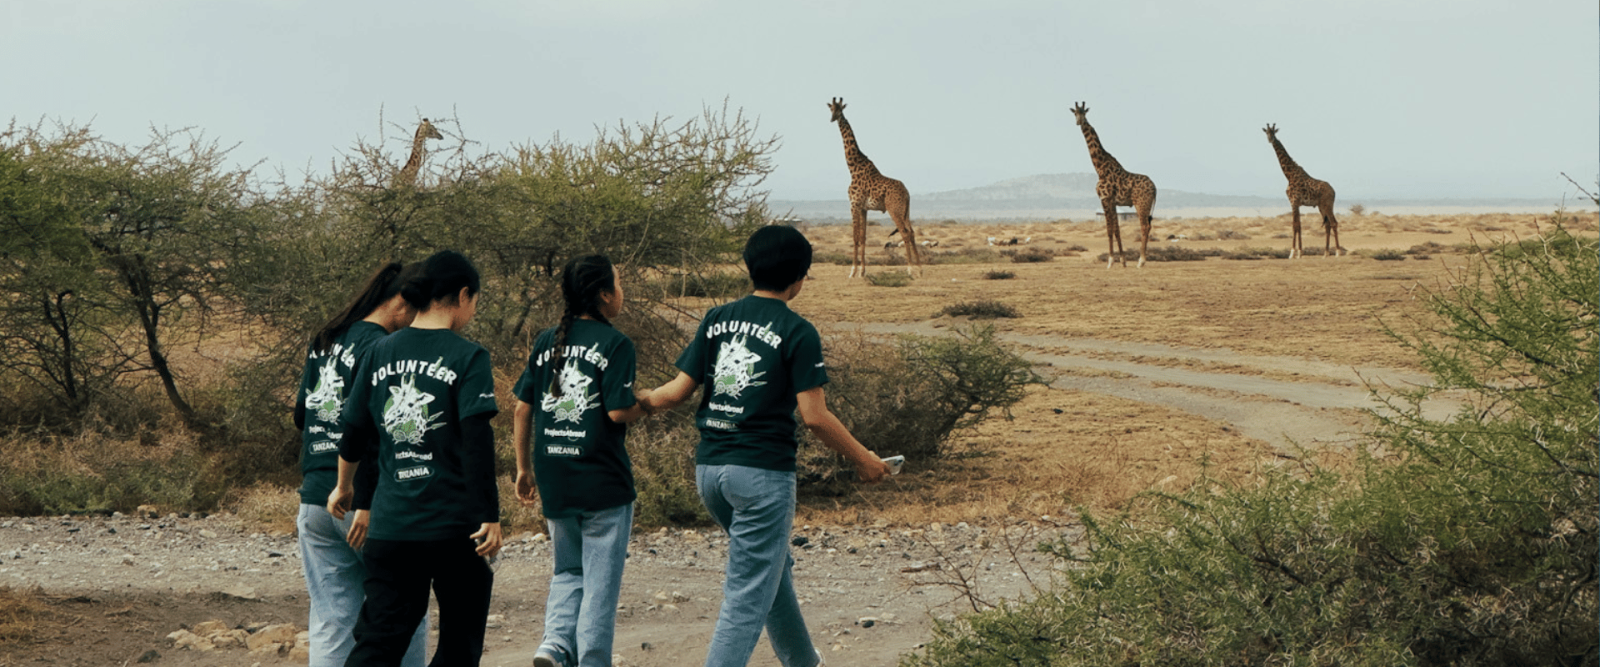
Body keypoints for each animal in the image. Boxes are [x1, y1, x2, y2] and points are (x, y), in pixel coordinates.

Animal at [828, 98, 922, 277]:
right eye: (831, 109)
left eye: (840, 109)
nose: (832, 119)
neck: (853, 167)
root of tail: (907, 193)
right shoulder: (864, 208)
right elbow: (863, 237)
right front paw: (862, 272)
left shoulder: (854, 205)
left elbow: (855, 237)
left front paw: (852, 271)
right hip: (905, 211)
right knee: (912, 232)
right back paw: (921, 269)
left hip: (894, 209)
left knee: (905, 233)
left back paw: (910, 269)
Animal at [1070, 102, 1157, 268]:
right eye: (1075, 113)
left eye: (1084, 113)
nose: (1079, 122)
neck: (1099, 168)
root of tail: (1155, 189)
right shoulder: (1113, 202)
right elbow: (1117, 229)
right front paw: (1123, 261)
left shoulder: (1104, 199)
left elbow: (1109, 229)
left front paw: (1110, 261)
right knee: (1147, 226)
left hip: (1141, 204)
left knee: (1145, 226)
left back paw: (1141, 261)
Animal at [1263, 124, 1343, 258]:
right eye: (1267, 132)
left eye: (1274, 132)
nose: (1270, 139)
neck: (1289, 175)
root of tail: (1333, 191)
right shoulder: (1297, 204)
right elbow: (1299, 226)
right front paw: (1300, 252)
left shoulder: (1293, 202)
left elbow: (1294, 225)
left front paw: (1292, 253)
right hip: (1321, 206)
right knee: (1327, 225)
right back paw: (1325, 253)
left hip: (1327, 204)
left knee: (1334, 223)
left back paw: (1337, 252)